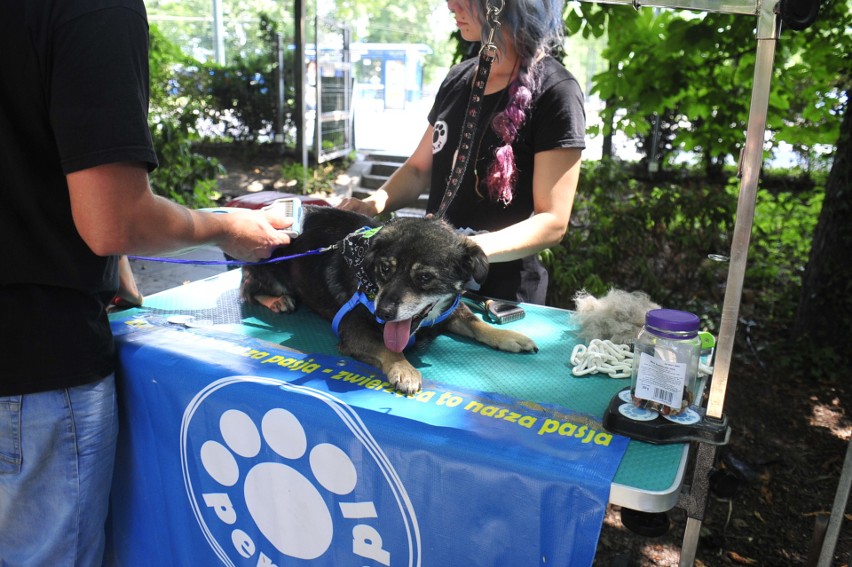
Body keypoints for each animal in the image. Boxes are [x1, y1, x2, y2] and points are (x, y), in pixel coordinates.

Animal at [238, 207, 540, 394]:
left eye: (424, 277)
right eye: (384, 269)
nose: (382, 312)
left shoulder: (449, 309)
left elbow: (477, 323)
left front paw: (510, 337)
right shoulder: (353, 329)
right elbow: (388, 348)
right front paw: (404, 370)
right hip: (268, 261)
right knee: (247, 287)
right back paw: (278, 300)